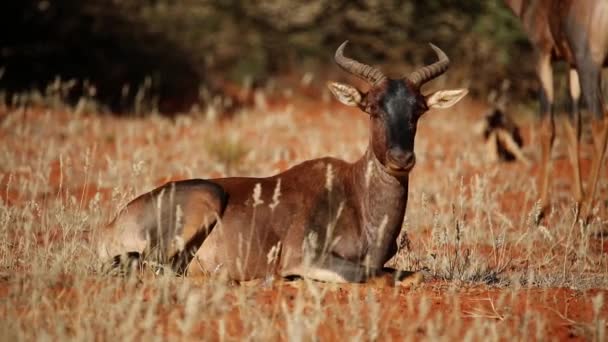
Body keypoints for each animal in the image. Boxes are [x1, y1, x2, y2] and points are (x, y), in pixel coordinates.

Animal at [100, 42, 468, 284]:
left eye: (418, 109)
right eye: (372, 107)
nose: (401, 159)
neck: (355, 194)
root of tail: (116, 221)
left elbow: (413, 275)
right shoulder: (304, 257)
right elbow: (371, 274)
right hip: (205, 201)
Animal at [504, 0, 608, 223]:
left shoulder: (543, 52)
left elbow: (547, 127)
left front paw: (539, 210)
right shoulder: (571, 64)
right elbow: (572, 126)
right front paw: (577, 201)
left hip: (590, 66)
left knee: (600, 123)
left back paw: (586, 214)